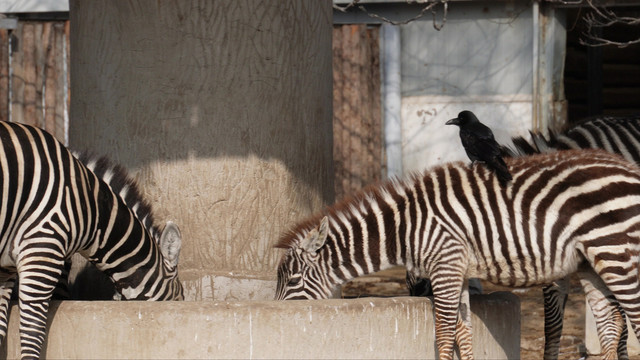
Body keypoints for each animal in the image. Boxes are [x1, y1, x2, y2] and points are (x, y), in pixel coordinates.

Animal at [276, 148, 640, 360]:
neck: (406, 228)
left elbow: (444, 334)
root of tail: (629, 168)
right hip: (591, 263)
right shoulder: (458, 272)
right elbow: (464, 334)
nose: (278, 310)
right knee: (610, 325)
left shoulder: (445, 267)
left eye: (292, 280)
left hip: (617, 254)